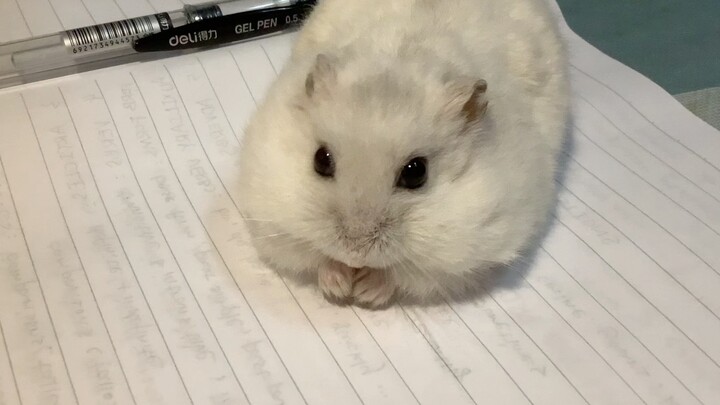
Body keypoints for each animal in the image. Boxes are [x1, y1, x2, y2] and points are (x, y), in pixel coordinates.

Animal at [236, 0, 570, 308]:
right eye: (320, 160)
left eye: (416, 173)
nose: (355, 253)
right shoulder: (271, 218)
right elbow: (313, 255)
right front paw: (339, 284)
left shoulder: (474, 248)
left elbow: (406, 274)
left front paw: (365, 290)